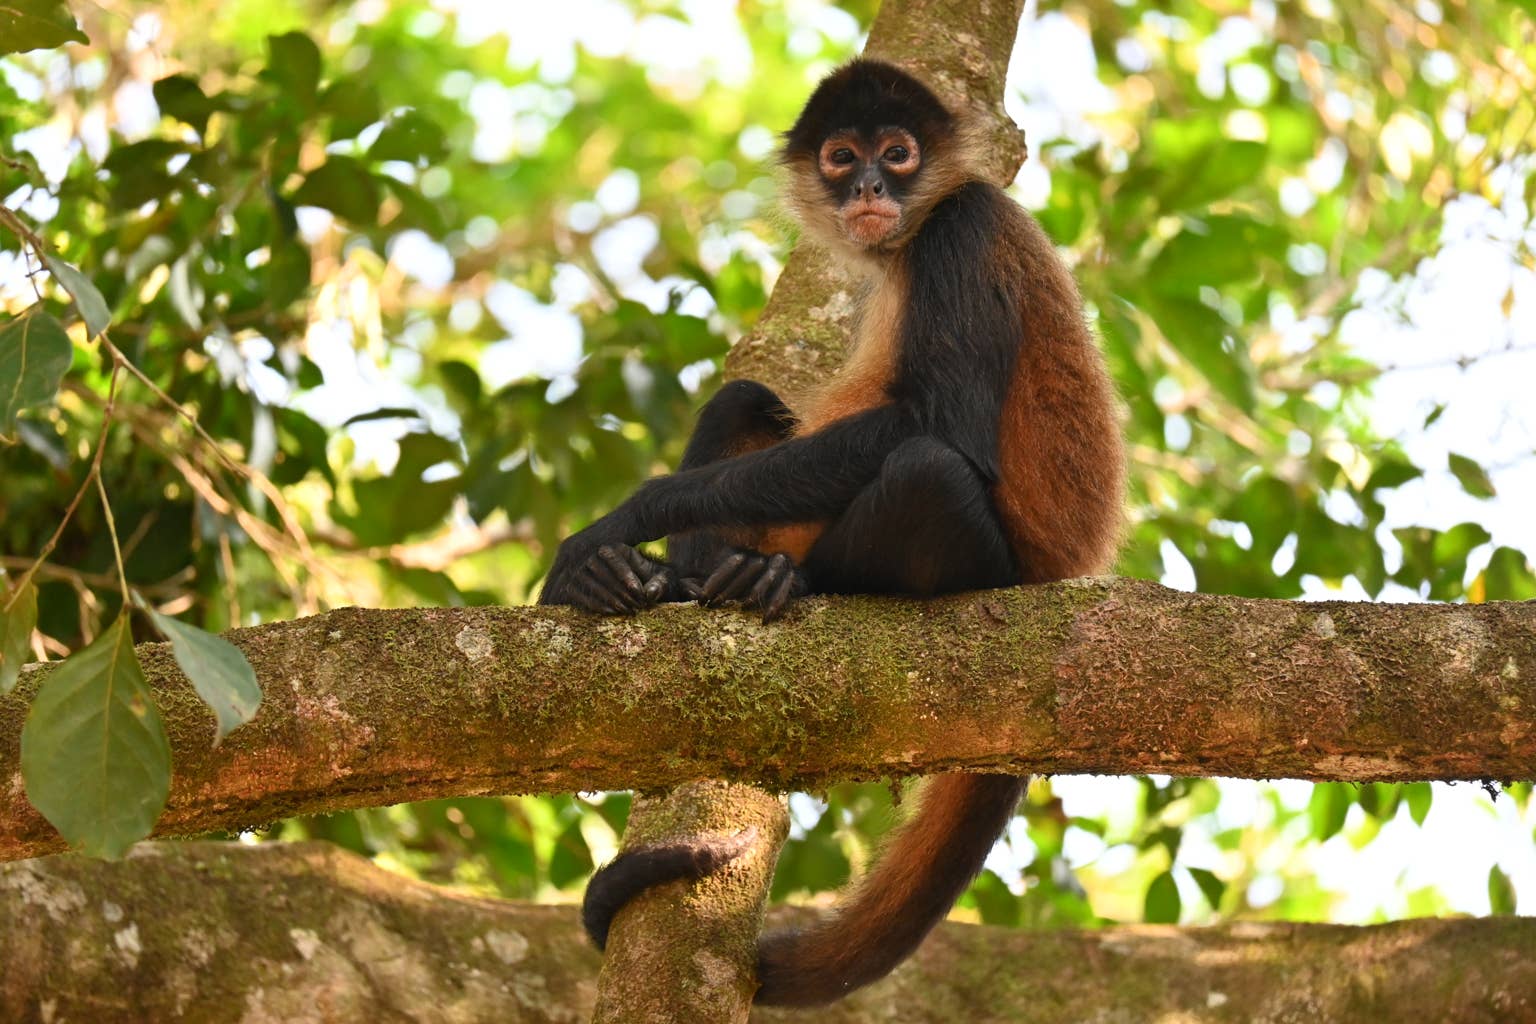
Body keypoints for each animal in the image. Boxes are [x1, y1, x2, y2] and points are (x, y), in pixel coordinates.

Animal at [539, 59, 1124, 1006]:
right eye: (843, 158)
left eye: (898, 152)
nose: (872, 188)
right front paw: (619, 565)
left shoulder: (964, 226)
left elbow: (941, 428)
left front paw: (633, 516)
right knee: (744, 399)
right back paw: (674, 581)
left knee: (927, 467)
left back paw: (786, 581)